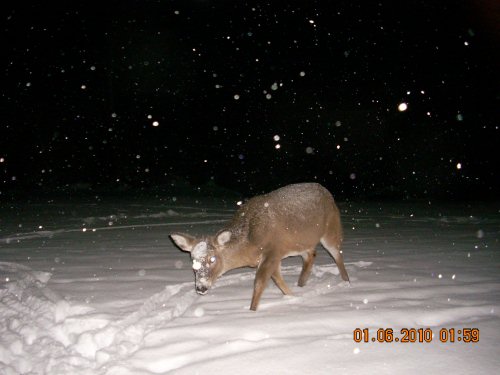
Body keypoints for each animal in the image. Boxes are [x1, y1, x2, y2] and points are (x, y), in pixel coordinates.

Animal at [170, 183, 350, 312]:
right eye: (193, 260)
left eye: (212, 259)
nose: (201, 287)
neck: (249, 246)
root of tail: (327, 192)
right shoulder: (272, 257)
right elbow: (279, 281)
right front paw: (293, 297)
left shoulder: (273, 251)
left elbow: (259, 283)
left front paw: (252, 311)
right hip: (302, 241)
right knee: (311, 254)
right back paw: (301, 284)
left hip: (331, 230)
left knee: (337, 254)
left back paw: (346, 282)